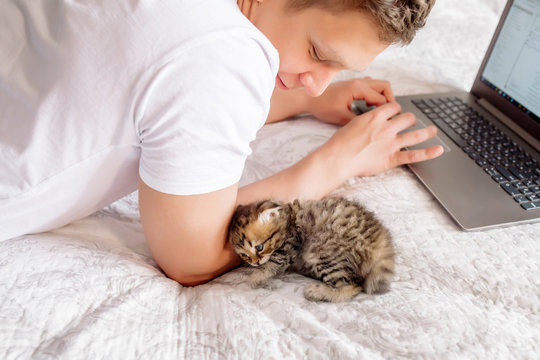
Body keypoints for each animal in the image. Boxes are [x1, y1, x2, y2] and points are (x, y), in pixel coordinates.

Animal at [226, 195, 394, 302]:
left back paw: (317, 292)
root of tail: (380, 240)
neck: (287, 220)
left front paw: (257, 276)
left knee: (352, 286)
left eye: (259, 247)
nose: (255, 262)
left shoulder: (290, 245)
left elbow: (273, 261)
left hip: (321, 252)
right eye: (244, 254)